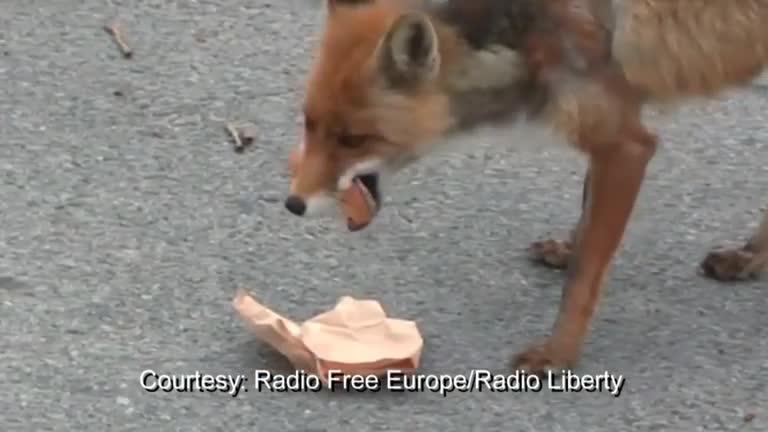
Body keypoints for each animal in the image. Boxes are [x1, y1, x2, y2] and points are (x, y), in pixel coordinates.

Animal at [282, 0, 768, 374]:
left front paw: (559, 353)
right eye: (309, 123)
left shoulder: (626, 147)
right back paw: (751, 258)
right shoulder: (611, 132)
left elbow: (583, 280)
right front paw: (569, 248)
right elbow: (585, 220)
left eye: (353, 139)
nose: (293, 204)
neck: (526, 36)